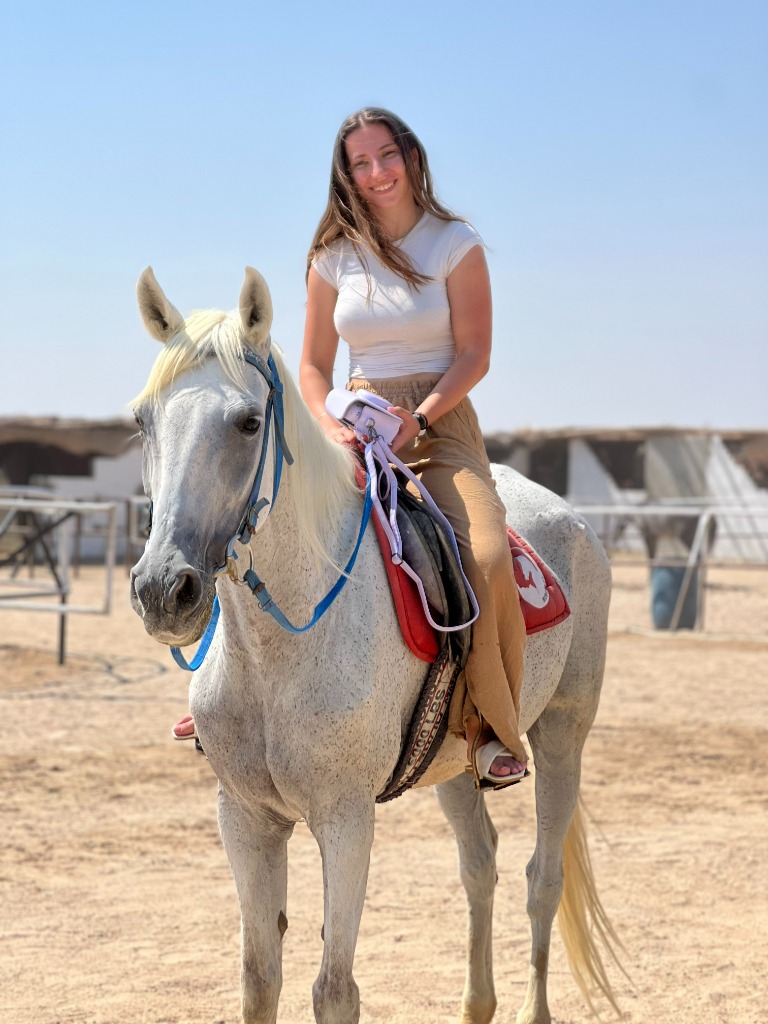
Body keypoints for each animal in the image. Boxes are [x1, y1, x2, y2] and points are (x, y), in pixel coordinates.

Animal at [130, 266, 619, 1024]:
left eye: (247, 422)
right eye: (142, 421)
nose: (163, 589)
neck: (279, 652)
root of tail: (573, 520)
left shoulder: (345, 818)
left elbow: (335, 990)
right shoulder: (244, 817)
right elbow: (258, 979)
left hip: (564, 731)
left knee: (542, 877)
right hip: (459, 760)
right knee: (480, 865)